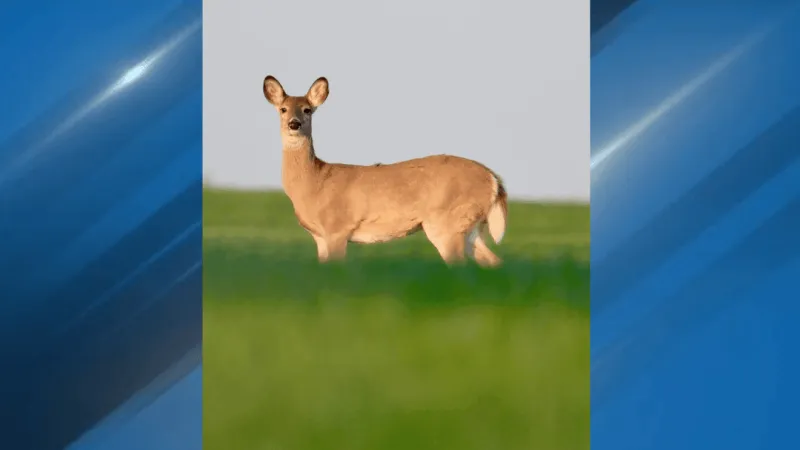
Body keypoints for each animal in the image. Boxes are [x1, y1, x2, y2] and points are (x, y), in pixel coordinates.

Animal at [262, 75, 508, 267]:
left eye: (308, 110)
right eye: (283, 109)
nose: (294, 124)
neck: (314, 182)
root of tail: (493, 179)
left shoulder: (337, 228)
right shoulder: (320, 237)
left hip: (447, 223)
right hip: (470, 227)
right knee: (495, 262)